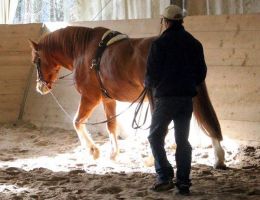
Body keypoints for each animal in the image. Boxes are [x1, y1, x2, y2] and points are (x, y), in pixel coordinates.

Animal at [29, 25, 225, 169]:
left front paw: (93, 151)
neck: (84, 51)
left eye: (36, 60)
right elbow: (111, 126)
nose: (40, 87)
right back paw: (219, 159)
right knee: (206, 123)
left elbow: (77, 122)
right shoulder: (108, 99)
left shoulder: (90, 97)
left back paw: (151, 160)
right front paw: (113, 154)